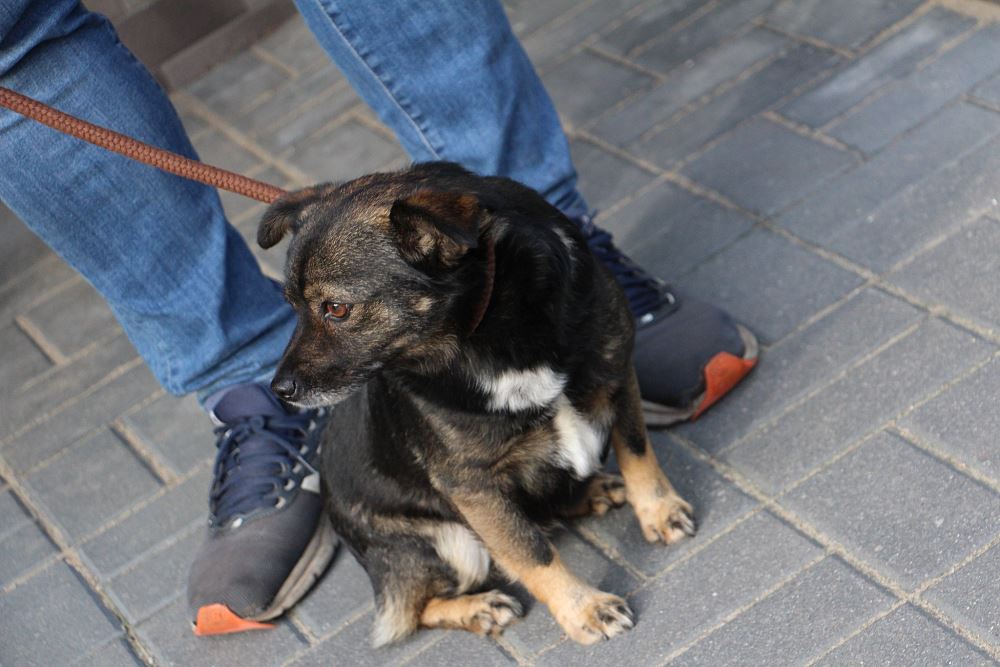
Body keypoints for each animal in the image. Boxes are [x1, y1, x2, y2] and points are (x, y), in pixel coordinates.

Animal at [257, 161, 696, 646]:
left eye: (336, 308)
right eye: (292, 307)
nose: (279, 389)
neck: (489, 331)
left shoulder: (618, 375)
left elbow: (637, 452)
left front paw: (658, 511)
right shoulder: (471, 485)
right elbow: (529, 551)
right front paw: (584, 610)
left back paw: (591, 491)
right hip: (451, 543)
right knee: (417, 611)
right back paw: (479, 608)